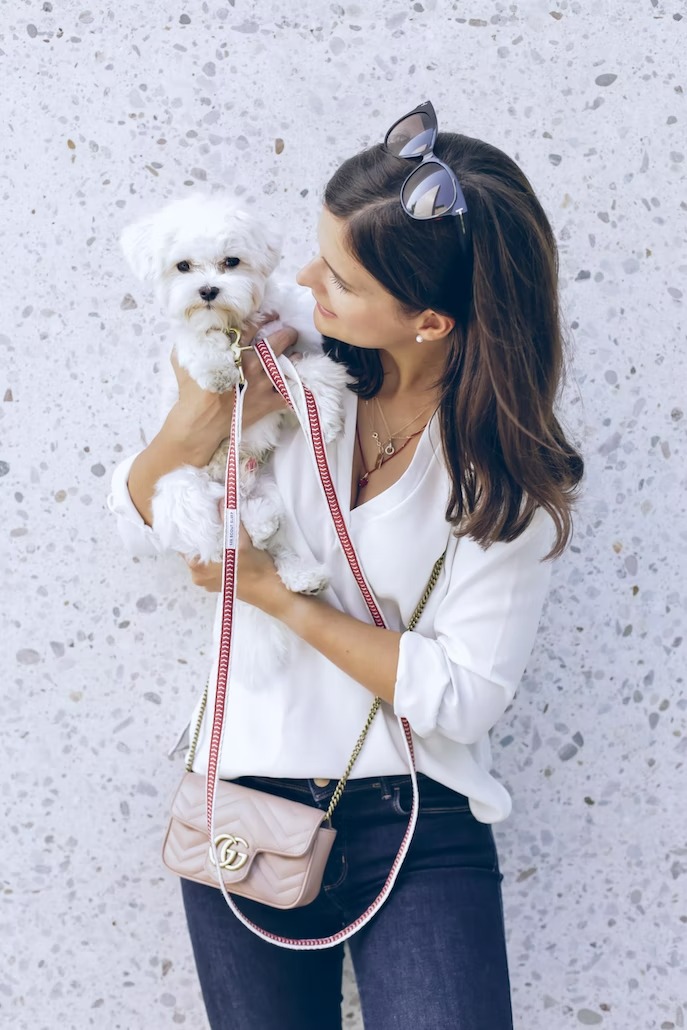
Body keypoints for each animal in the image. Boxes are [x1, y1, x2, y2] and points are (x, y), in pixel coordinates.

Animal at [118, 192, 352, 671]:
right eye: (183, 266)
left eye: (232, 261)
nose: (208, 290)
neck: (234, 327)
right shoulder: (192, 348)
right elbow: (200, 343)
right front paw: (219, 370)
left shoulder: (286, 346)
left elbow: (315, 373)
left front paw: (326, 416)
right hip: (181, 490)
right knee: (216, 534)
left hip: (267, 483)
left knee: (272, 539)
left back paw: (294, 565)